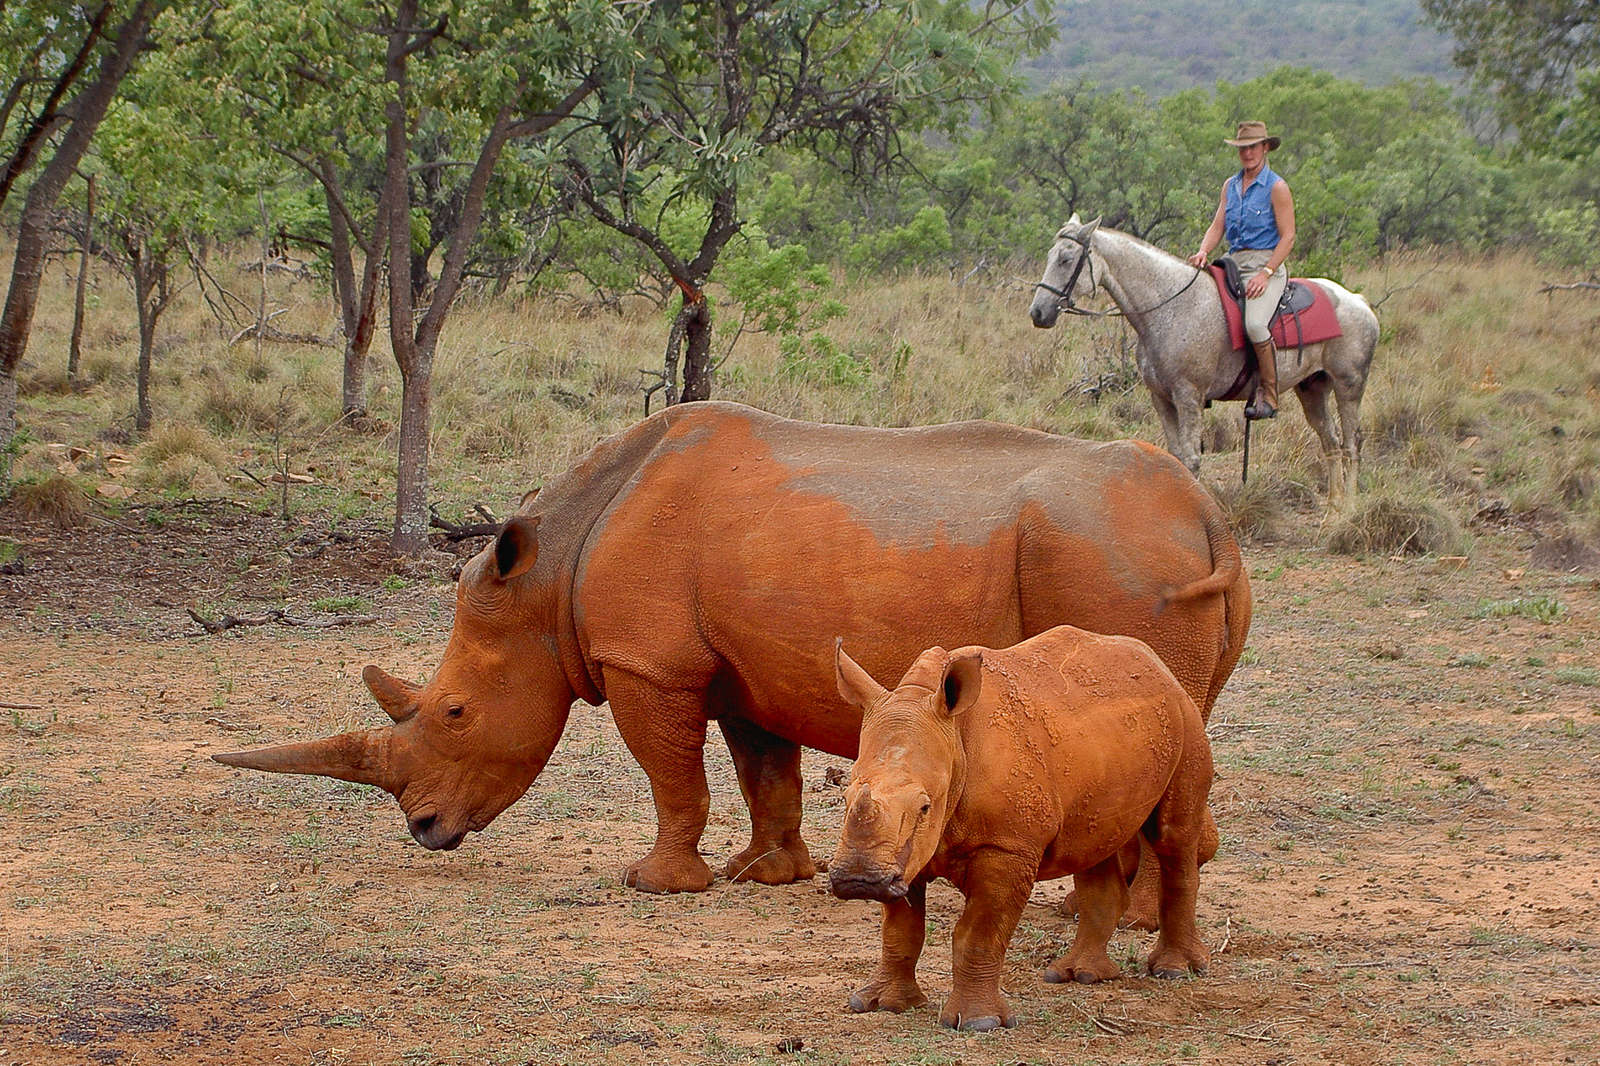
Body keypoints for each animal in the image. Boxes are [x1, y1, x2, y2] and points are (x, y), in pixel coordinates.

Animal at [1028, 216, 1379, 504]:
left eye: (1066, 259)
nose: (1038, 312)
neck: (1171, 307)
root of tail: (1359, 302)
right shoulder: (1162, 399)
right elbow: (1175, 457)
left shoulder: (1189, 398)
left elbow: (1191, 460)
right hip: (1312, 389)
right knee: (1331, 442)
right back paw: (1333, 508)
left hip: (1348, 388)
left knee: (1352, 444)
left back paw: (1348, 511)